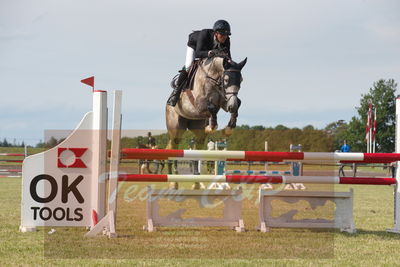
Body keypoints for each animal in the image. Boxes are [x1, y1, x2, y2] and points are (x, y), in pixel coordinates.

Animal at [164, 55, 245, 189]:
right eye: (226, 80)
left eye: (241, 80)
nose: (231, 106)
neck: (213, 78)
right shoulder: (198, 104)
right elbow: (211, 107)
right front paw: (212, 126)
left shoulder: (224, 100)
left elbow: (237, 103)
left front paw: (228, 128)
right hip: (176, 129)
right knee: (173, 148)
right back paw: (173, 182)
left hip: (197, 132)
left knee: (196, 150)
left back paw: (196, 183)